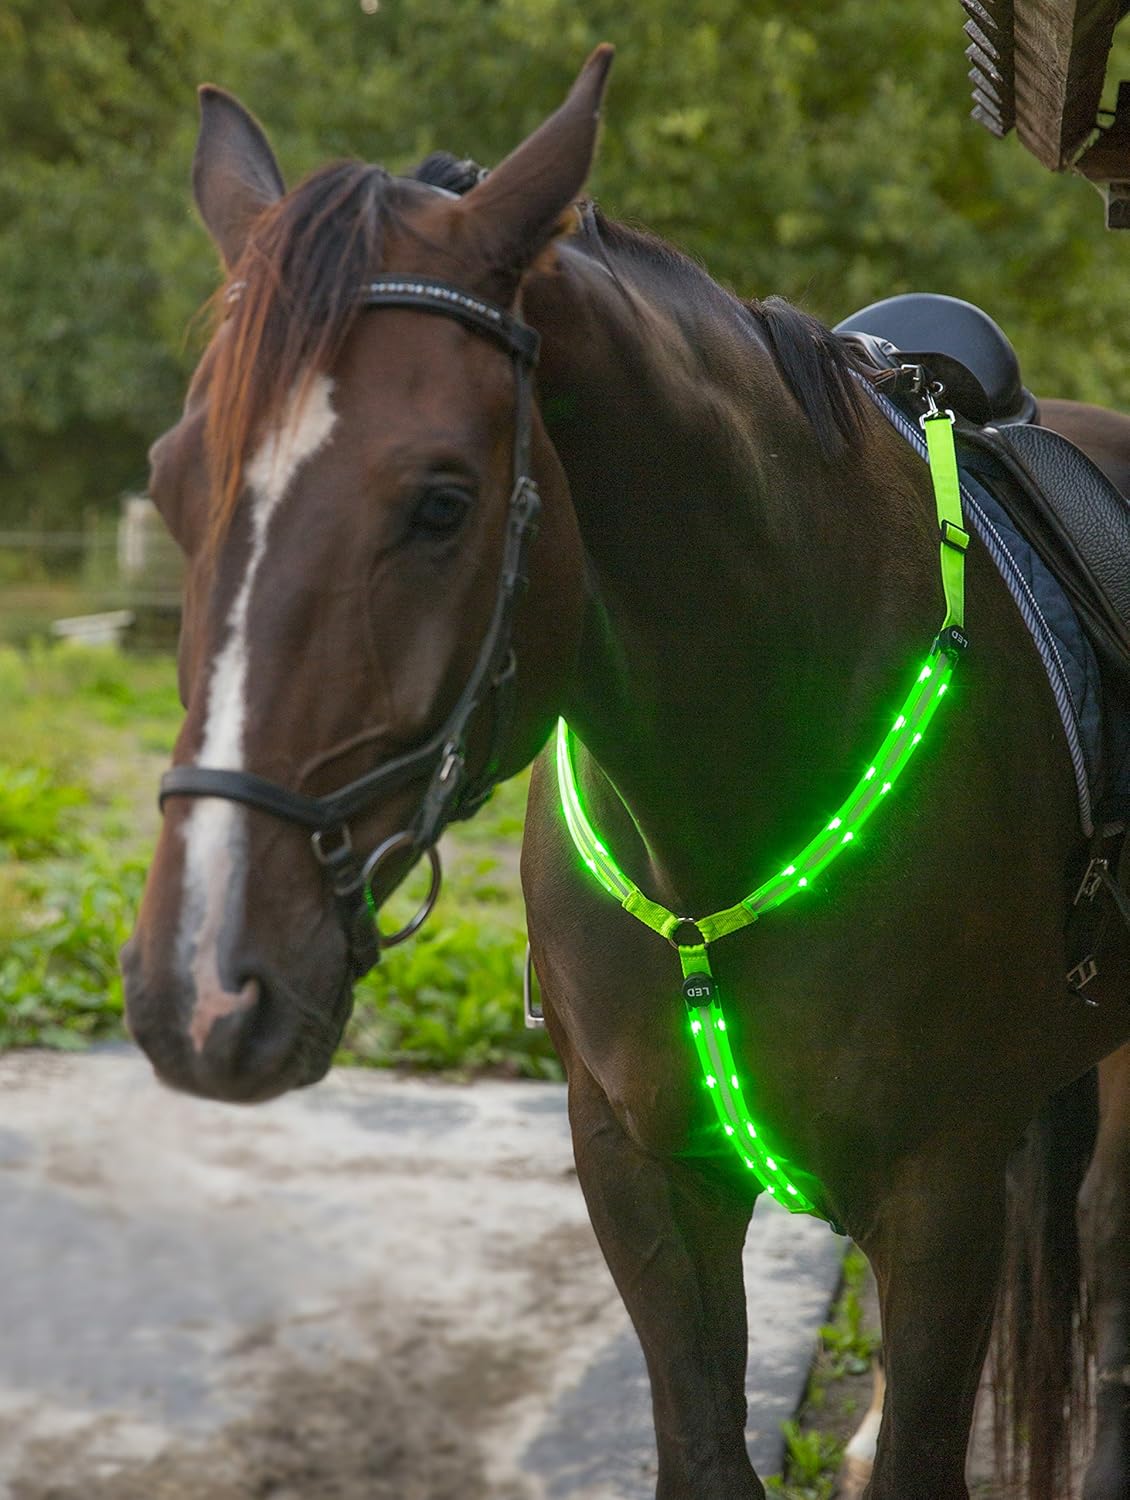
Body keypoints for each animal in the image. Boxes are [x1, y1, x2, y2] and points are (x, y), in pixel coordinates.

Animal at [120, 47, 1130, 1499]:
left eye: (441, 502)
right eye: (169, 482)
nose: (200, 993)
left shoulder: (936, 1187)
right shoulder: (638, 1175)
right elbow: (706, 1450)